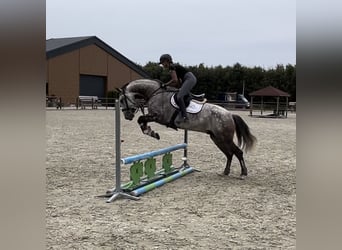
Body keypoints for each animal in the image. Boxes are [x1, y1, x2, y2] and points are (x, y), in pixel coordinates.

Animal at [119, 78, 255, 178]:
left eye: (121, 100)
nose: (127, 116)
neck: (154, 93)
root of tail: (230, 114)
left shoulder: (158, 117)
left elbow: (141, 119)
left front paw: (151, 132)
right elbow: (141, 120)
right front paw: (150, 131)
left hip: (224, 138)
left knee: (237, 152)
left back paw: (243, 173)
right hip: (217, 138)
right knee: (229, 154)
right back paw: (225, 172)